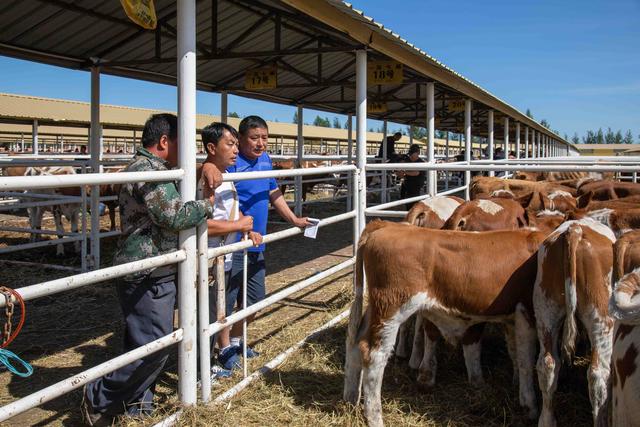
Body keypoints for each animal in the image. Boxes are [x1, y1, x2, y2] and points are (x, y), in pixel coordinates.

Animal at [344, 222, 544, 426]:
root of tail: (385, 224)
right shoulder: (526, 310)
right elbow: (527, 361)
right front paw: (530, 406)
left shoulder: (511, 317)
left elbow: (515, 354)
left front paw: (516, 385)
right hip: (392, 308)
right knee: (374, 355)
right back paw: (374, 417)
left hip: (376, 309)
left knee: (355, 342)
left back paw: (350, 399)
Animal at [528, 219, 616, 427]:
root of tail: (575, 230)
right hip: (602, 319)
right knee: (598, 375)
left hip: (545, 310)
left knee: (547, 364)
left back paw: (547, 420)